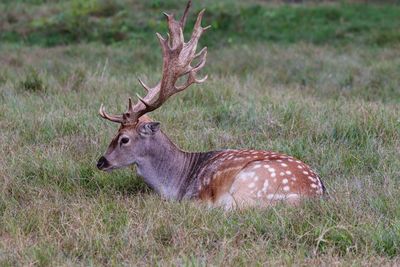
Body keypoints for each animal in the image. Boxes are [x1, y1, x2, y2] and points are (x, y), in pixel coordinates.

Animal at [97, 1, 324, 210]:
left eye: (124, 139)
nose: (100, 162)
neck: (178, 183)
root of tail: (315, 194)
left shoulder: (195, 196)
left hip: (250, 183)